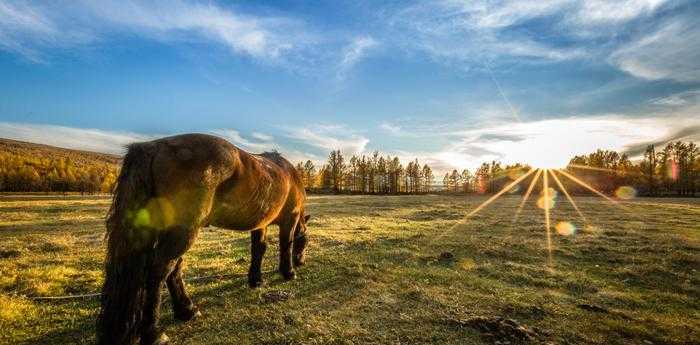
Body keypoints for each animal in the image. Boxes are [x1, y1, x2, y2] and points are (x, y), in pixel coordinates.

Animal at [97, 134, 310, 344]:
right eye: (305, 242)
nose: (301, 261)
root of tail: (154, 147)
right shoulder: (290, 219)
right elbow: (286, 244)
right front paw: (288, 272)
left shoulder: (260, 224)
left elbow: (259, 249)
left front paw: (256, 279)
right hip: (184, 232)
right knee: (159, 271)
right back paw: (154, 332)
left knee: (173, 268)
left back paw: (186, 310)